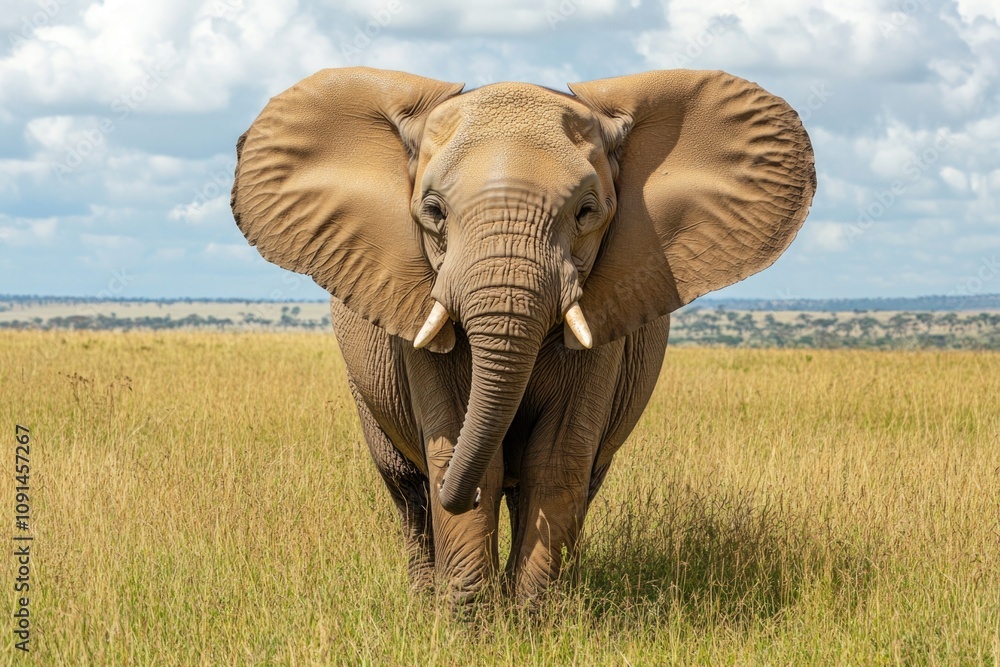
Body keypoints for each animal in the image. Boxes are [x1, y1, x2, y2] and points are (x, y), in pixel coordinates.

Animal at [230, 67, 815, 603]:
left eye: (586, 212)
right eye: (433, 211)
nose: (457, 495)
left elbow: (555, 462)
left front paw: (531, 624)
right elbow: (461, 451)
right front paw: (468, 627)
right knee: (408, 490)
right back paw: (425, 596)